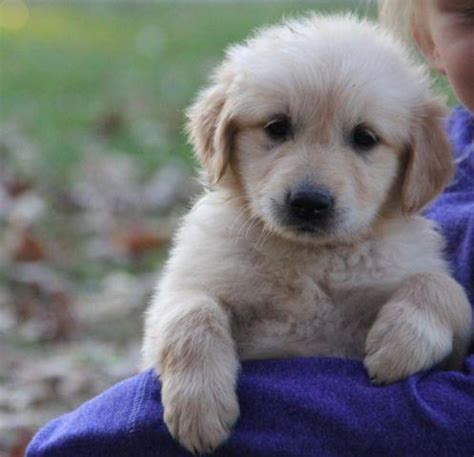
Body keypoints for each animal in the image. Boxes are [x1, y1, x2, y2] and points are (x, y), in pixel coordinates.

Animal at [143, 13, 472, 452]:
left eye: (365, 138)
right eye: (276, 127)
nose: (309, 202)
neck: (312, 259)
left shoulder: (452, 340)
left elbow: (440, 286)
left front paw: (400, 344)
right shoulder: (182, 291)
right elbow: (190, 314)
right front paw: (200, 406)